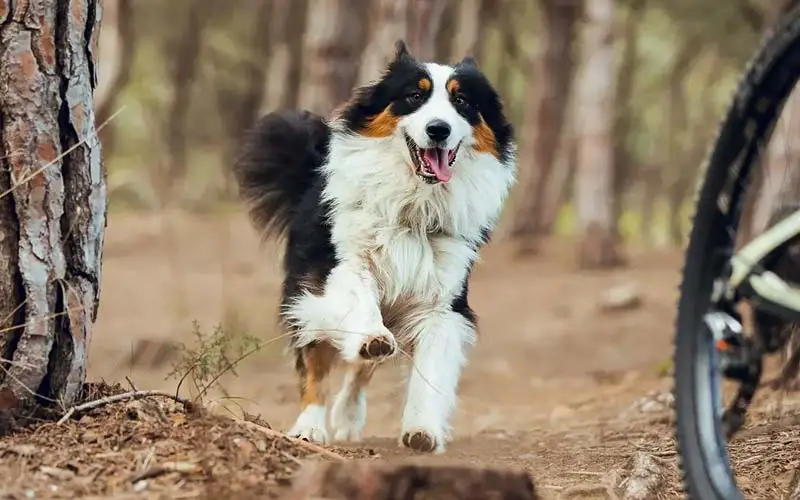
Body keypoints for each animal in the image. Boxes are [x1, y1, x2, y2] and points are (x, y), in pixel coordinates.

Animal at [234, 40, 516, 454]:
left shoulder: (442, 303)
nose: (438, 129)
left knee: (361, 370)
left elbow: (432, 365)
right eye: (414, 95)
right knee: (316, 363)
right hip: (303, 292)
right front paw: (371, 336)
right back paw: (311, 426)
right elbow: (359, 301)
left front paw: (422, 429)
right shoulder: (340, 265)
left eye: (462, 100)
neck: (415, 206)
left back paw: (349, 417)